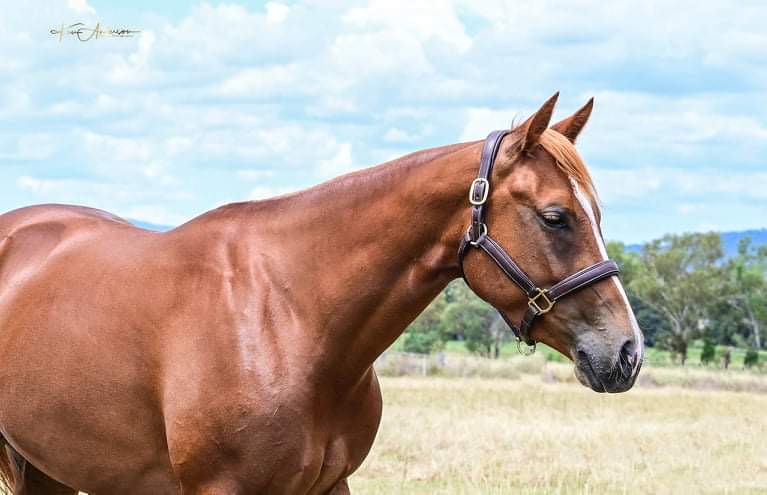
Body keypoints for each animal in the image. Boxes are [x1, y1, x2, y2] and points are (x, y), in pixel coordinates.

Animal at [0, 93, 643, 494]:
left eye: (597, 214)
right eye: (556, 217)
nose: (628, 353)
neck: (289, 319)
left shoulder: (332, 485)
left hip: (50, 467)